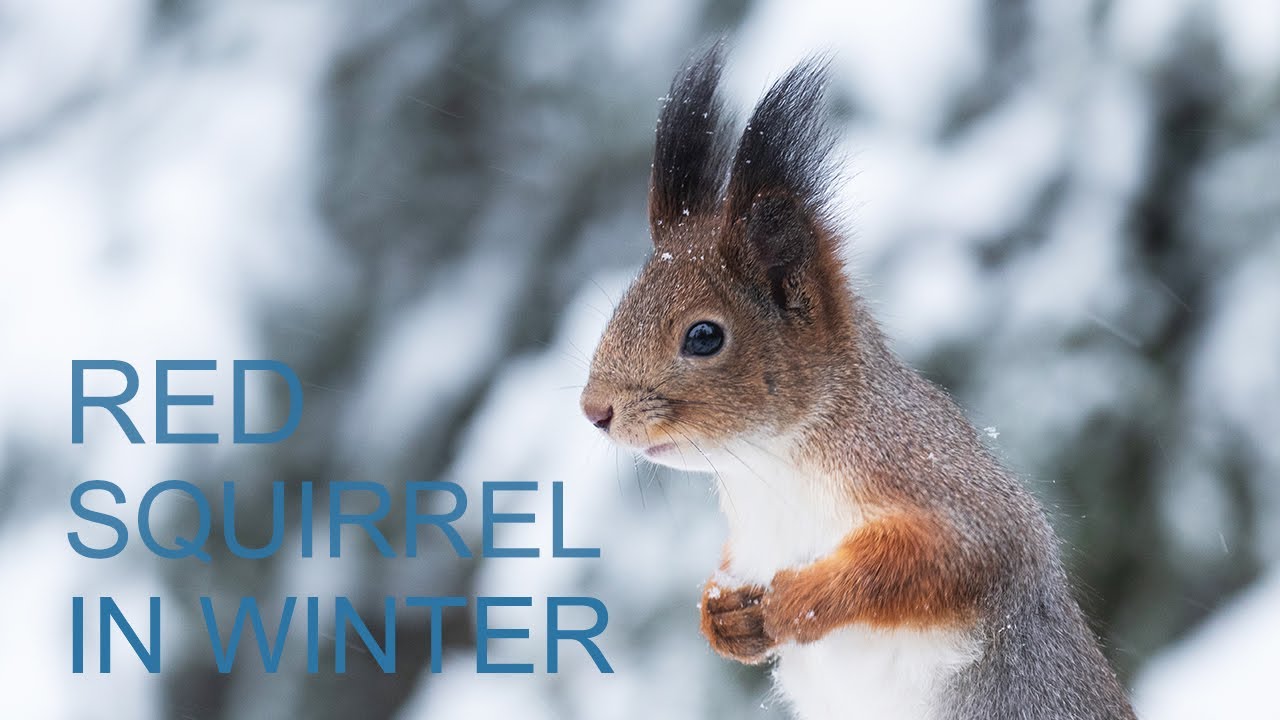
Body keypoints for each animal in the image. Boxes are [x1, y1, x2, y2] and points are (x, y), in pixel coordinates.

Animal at [580, 44, 1136, 720]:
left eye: (704, 336)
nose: (594, 410)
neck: (768, 466)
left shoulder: (944, 487)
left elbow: (943, 558)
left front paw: (798, 601)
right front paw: (720, 615)